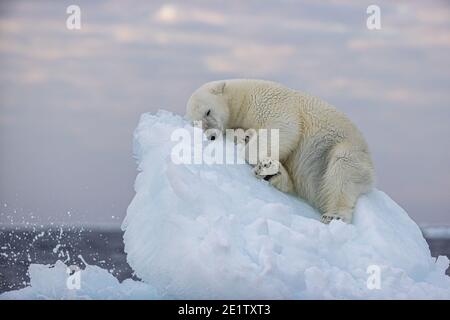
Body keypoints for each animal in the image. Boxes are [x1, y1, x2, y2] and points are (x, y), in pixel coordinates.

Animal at [185, 79, 374, 224]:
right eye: (197, 123)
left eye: (208, 111)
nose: (211, 135)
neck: (241, 97)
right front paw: (255, 150)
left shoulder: (268, 101)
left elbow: (283, 127)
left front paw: (259, 157)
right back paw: (273, 175)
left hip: (345, 148)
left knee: (342, 171)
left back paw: (333, 215)